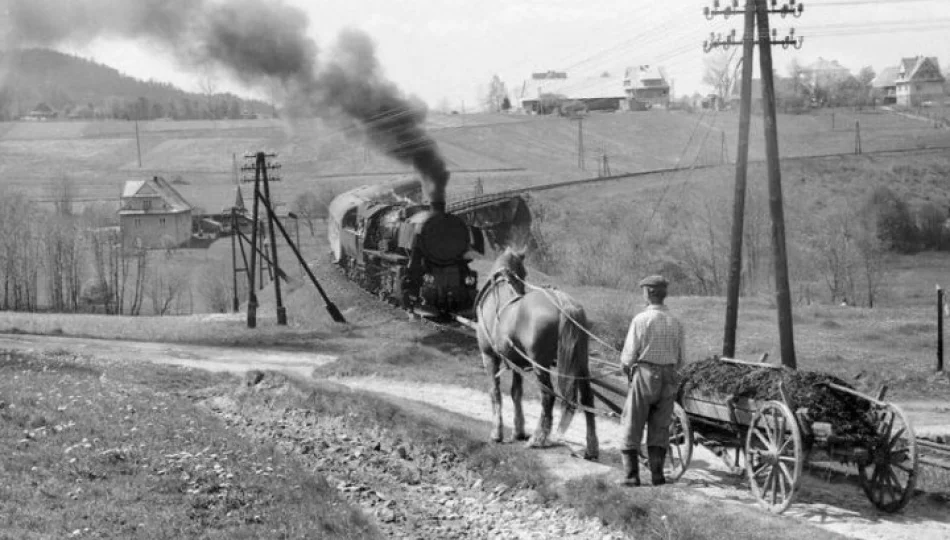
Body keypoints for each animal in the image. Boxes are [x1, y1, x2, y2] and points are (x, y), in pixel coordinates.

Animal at [476, 246, 604, 460]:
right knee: (587, 398)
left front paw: (496, 434)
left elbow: (495, 393)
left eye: (524, 273)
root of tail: (563, 302)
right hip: (581, 362)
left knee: (548, 397)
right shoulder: (517, 362)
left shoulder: (489, 356)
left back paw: (538, 438)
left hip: (540, 364)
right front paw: (518, 430)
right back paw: (591, 447)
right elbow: (516, 393)